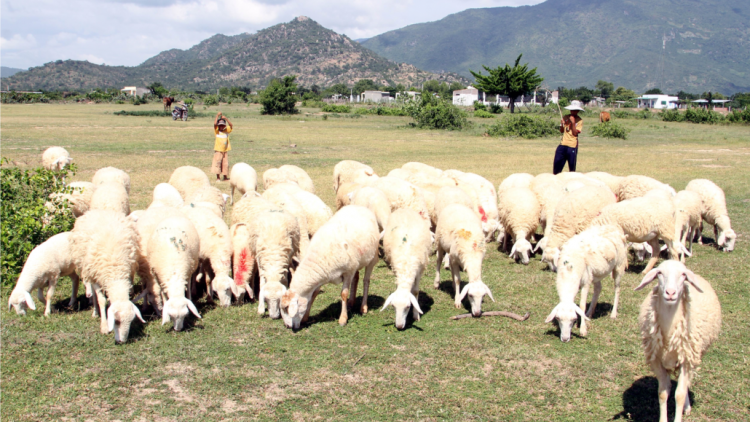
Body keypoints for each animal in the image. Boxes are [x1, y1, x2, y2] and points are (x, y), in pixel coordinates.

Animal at [70, 209, 144, 344]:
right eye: (117, 321)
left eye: (131, 322)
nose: (122, 341)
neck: (115, 271)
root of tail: (97, 211)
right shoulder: (95, 275)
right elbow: (101, 300)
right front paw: (104, 326)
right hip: (88, 269)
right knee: (94, 295)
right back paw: (95, 311)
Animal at [636, 260, 724, 422]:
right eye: (659, 273)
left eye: (683, 275)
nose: (670, 293)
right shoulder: (656, 360)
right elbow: (663, 393)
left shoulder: (686, 359)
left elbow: (680, 395)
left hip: (693, 354)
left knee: (686, 383)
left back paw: (687, 407)